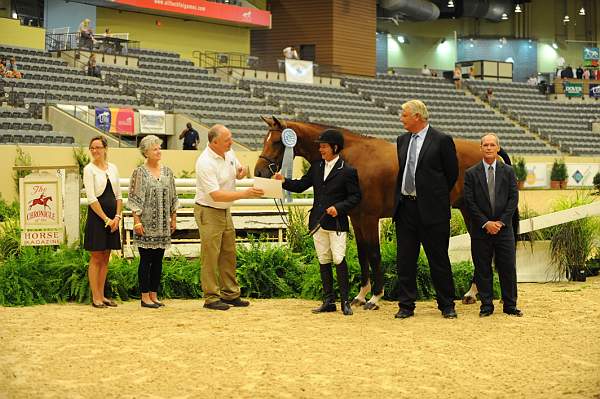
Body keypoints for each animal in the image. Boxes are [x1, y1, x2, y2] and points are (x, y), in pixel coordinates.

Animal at [253, 115, 482, 310]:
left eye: (276, 141)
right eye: (265, 140)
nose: (259, 172)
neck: (353, 158)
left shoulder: (370, 218)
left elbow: (373, 254)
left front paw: (375, 297)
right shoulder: (356, 217)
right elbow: (363, 253)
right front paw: (361, 296)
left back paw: (472, 293)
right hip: (466, 211)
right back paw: (472, 294)